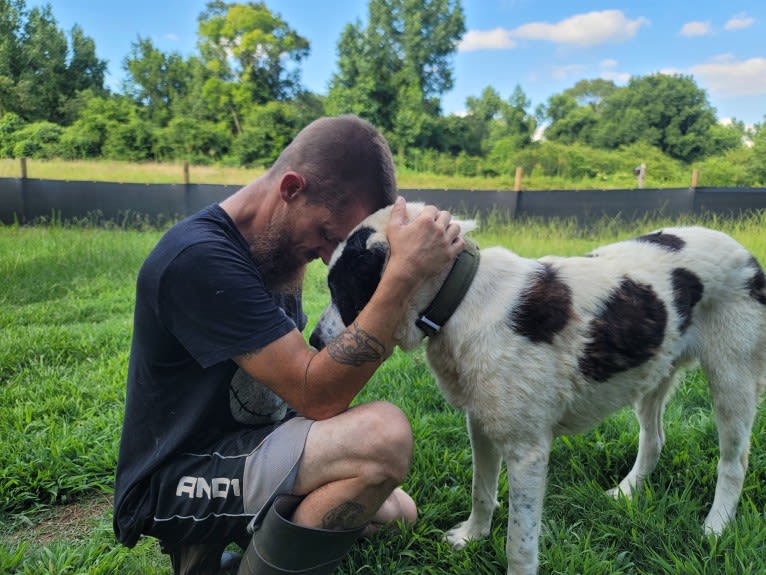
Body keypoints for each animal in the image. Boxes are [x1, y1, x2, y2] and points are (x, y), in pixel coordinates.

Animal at [308, 201, 764, 572]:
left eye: (339, 285)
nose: (311, 341)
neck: (463, 297)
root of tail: (747, 255)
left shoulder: (527, 450)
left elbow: (519, 541)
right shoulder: (480, 424)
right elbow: (481, 490)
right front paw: (472, 536)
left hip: (731, 378)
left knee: (733, 462)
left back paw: (715, 526)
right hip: (653, 372)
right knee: (654, 439)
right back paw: (627, 491)